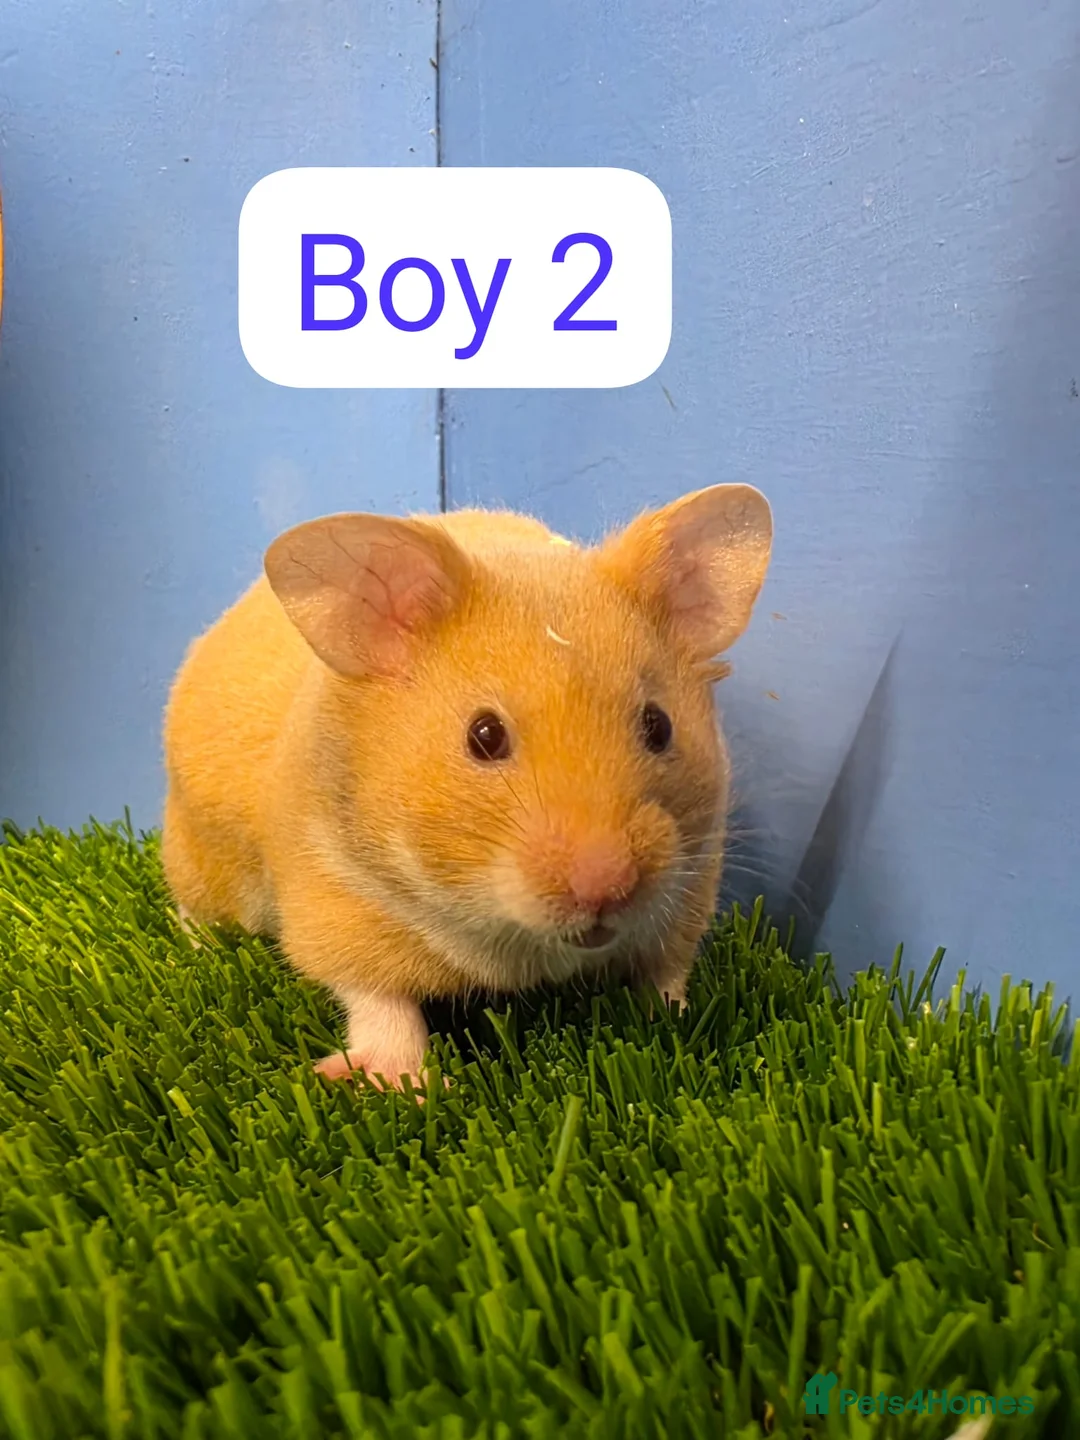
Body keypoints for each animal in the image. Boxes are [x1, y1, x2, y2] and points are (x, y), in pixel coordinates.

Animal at [161, 485, 772, 1089]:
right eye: (484, 735)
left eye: (658, 725)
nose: (606, 889)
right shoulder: (334, 898)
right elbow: (378, 1001)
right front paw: (396, 1086)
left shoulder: (689, 890)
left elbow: (666, 977)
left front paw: (683, 1026)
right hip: (201, 859)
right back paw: (200, 951)